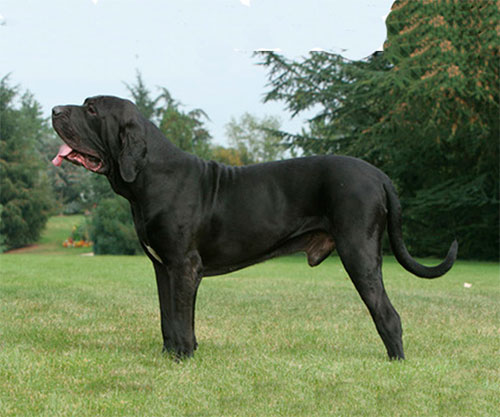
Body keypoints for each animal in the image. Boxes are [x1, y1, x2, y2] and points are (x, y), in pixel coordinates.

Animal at [50, 96, 458, 360]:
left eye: (90, 109)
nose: (54, 109)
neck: (151, 174)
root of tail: (378, 175)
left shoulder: (183, 265)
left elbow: (181, 319)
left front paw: (182, 359)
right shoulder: (163, 267)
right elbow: (169, 317)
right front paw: (170, 356)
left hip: (359, 253)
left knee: (388, 314)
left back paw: (396, 362)